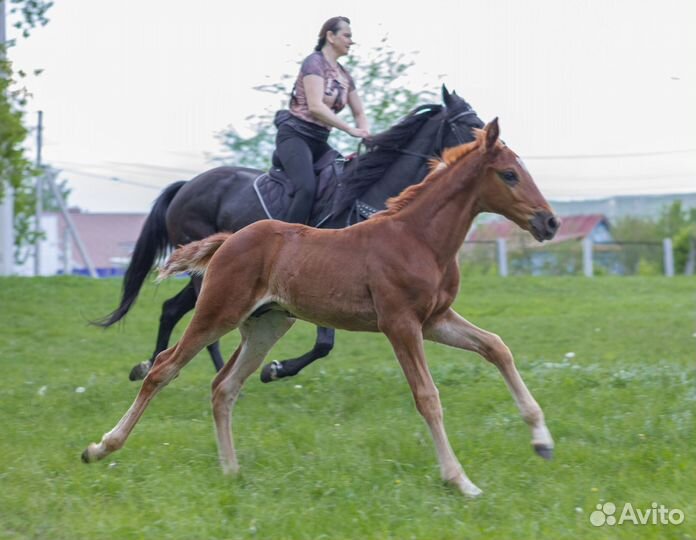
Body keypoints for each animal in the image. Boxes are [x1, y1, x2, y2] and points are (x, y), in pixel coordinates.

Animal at [82, 118, 560, 497]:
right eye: (509, 174)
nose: (550, 221)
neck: (419, 239)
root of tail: (230, 239)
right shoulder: (400, 324)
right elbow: (427, 396)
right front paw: (460, 480)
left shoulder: (435, 320)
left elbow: (497, 347)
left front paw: (542, 441)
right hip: (217, 311)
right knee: (165, 366)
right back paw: (101, 446)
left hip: (266, 326)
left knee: (224, 386)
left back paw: (231, 470)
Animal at [94, 86, 485, 383]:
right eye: (470, 126)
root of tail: (185, 186)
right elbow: (325, 343)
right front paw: (276, 369)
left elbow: (324, 344)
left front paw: (273, 369)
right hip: (210, 276)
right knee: (197, 324)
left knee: (171, 310)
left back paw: (153, 367)